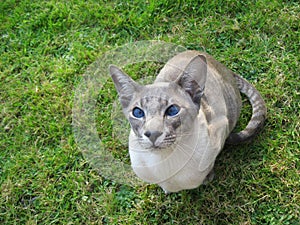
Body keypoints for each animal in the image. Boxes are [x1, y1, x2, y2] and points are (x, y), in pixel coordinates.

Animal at [109, 50, 266, 192]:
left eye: (172, 110)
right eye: (138, 113)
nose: (153, 134)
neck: (165, 162)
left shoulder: (221, 127)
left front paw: (207, 177)